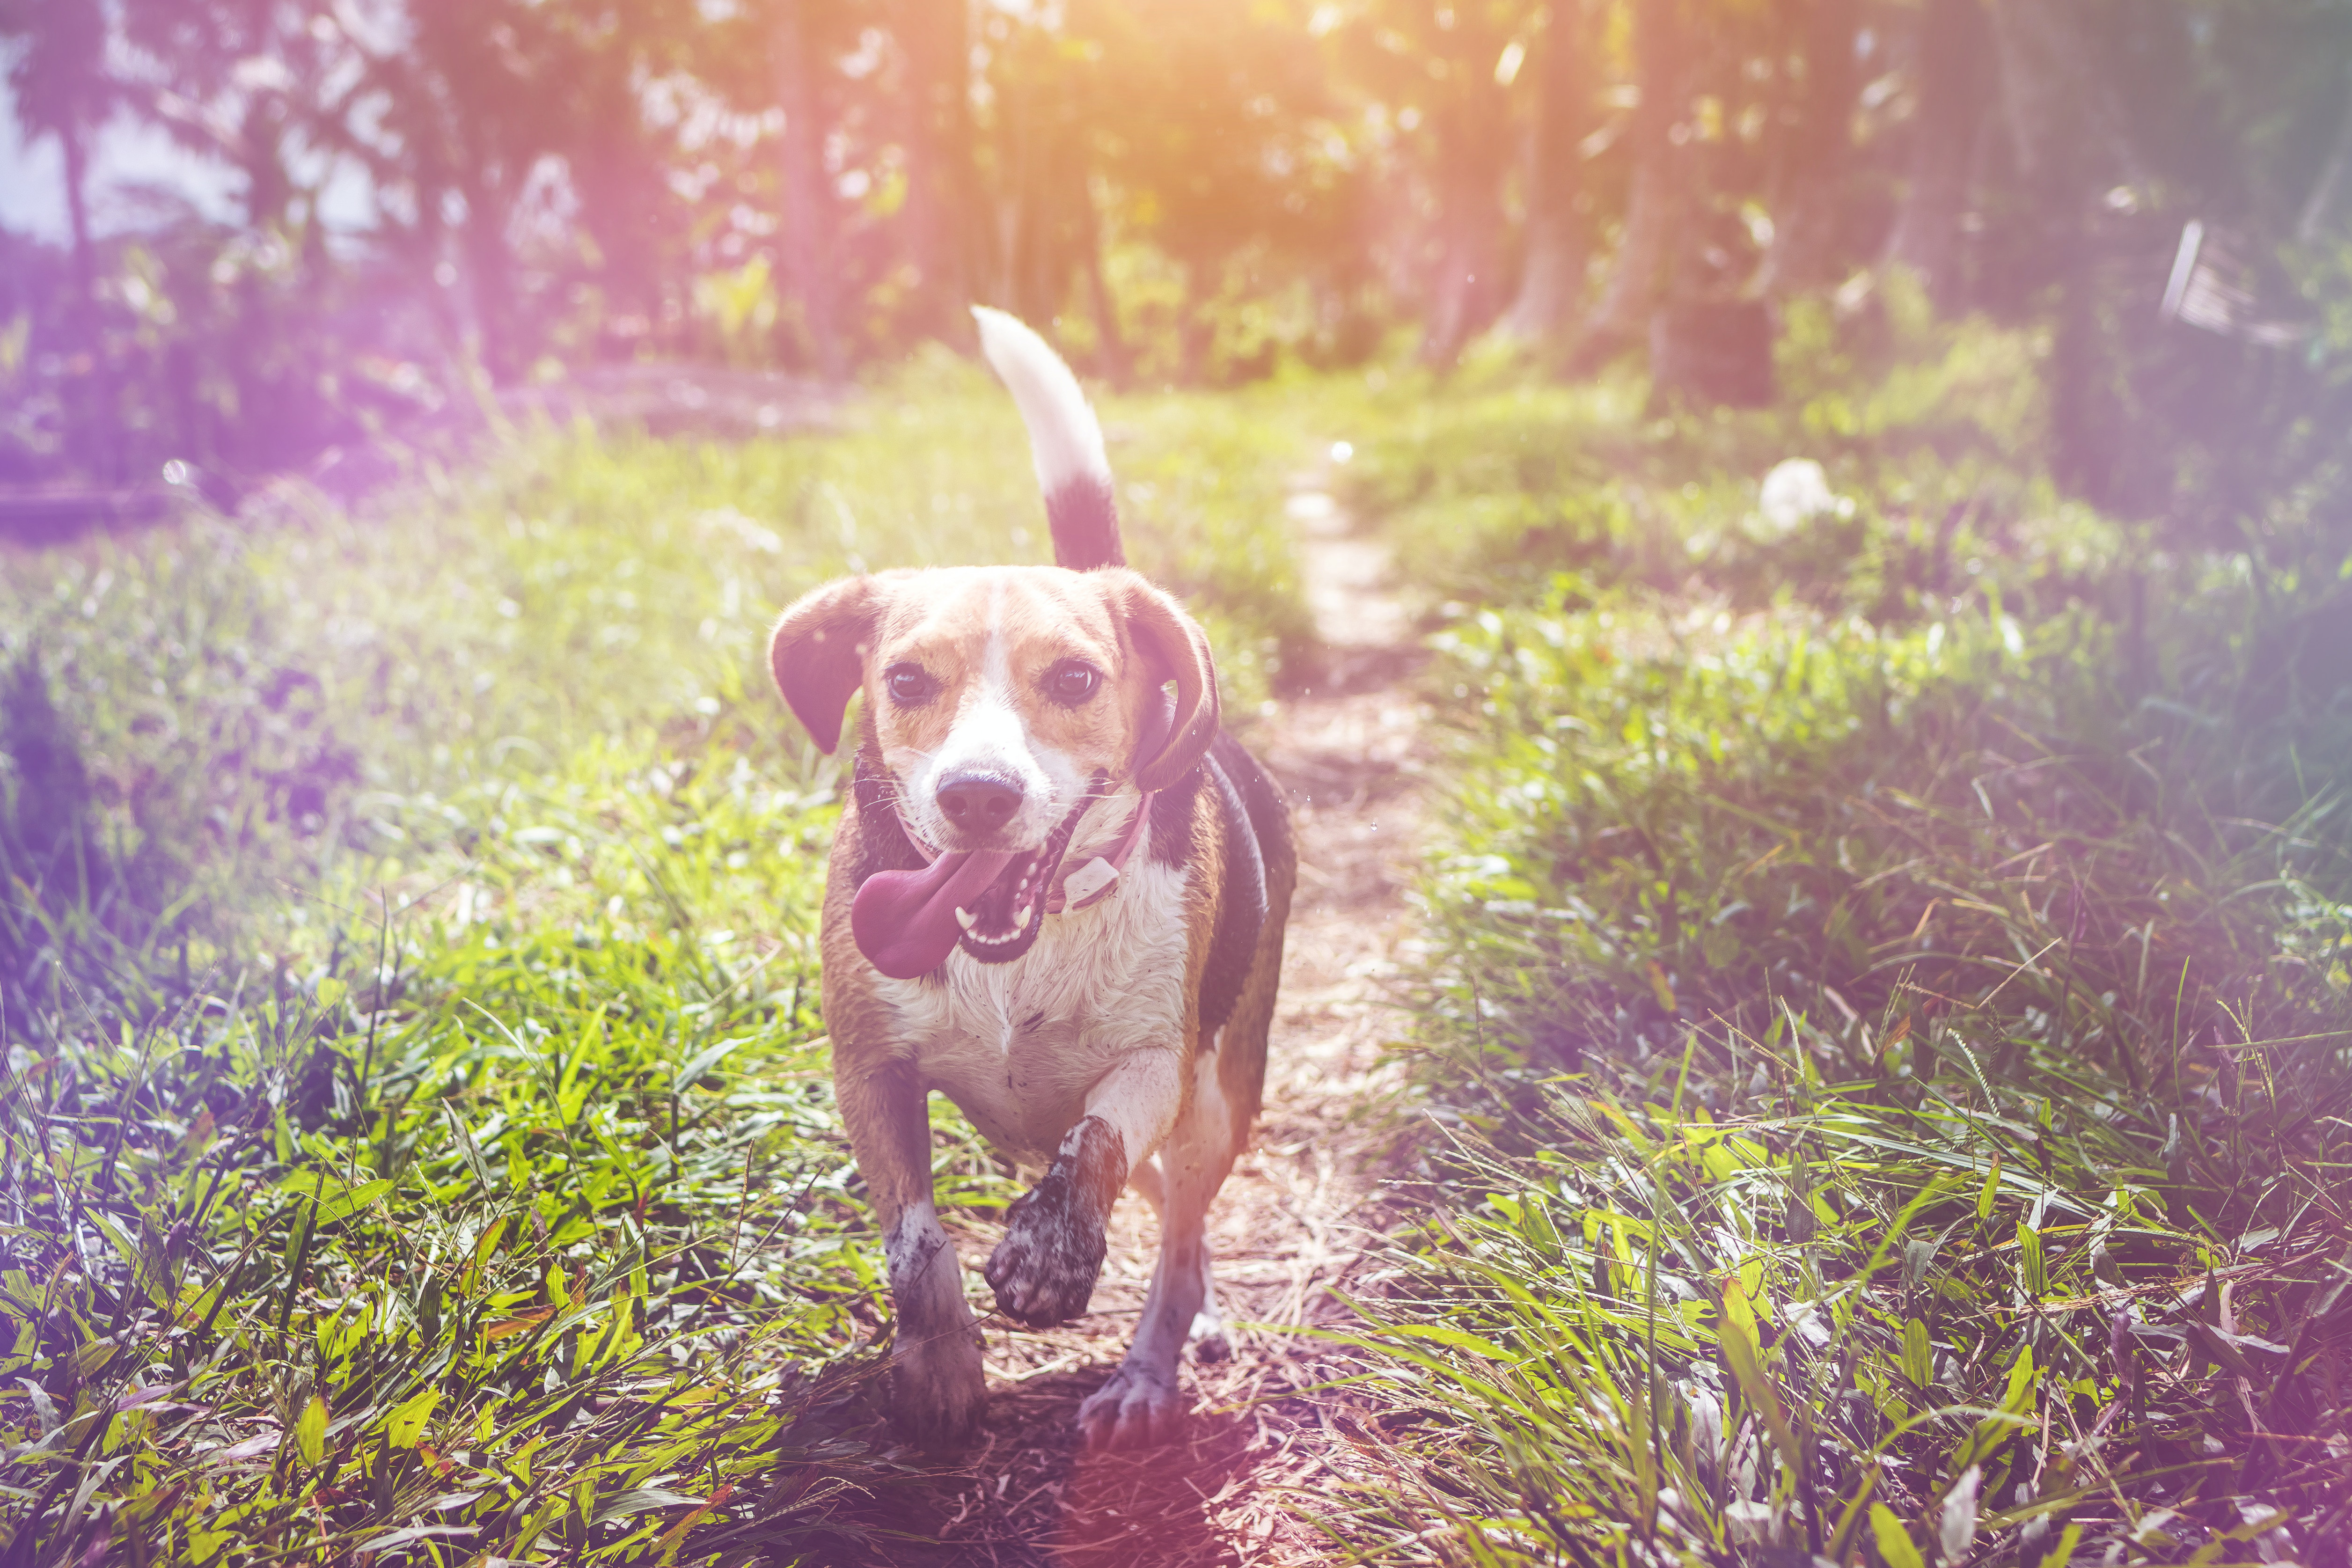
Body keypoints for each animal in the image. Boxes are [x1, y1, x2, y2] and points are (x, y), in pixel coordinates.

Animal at [767, 305, 1289, 1448]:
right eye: (905, 679)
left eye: (1078, 678)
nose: (977, 796)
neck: (1023, 948)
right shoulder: (868, 1069)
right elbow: (916, 1240)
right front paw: (941, 1367)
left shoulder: (1156, 1062)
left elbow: (1094, 1140)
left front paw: (1050, 1253)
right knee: (1171, 1222)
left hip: (1217, 1103)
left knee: (1176, 1240)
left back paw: (1147, 1371)